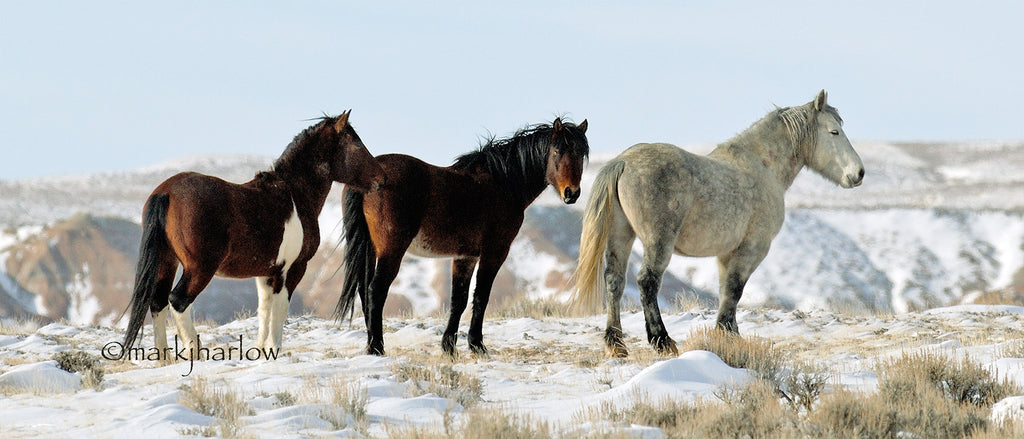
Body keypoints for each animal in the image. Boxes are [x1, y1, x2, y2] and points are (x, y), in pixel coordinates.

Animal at [121, 111, 385, 358]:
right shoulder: (293, 269)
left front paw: (261, 350)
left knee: (158, 301)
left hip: (167, 261)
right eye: (356, 143)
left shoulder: (266, 272)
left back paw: (163, 358)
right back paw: (196, 353)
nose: (380, 178)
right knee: (177, 301)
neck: (294, 195)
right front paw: (274, 349)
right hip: (199, 268)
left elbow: (264, 309)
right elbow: (280, 308)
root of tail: (166, 192)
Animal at [339, 117, 589, 356]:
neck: (503, 183)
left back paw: (371, 344)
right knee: (375, 290)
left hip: (370, 248)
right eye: (556, 151)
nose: (571, 193)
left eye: (581, 153)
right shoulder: (494, 252)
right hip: (391, 250)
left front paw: (449, 347)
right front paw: (477, 344)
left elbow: (458, 300)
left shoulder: (465, 256)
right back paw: (377, 347)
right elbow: (481, 296)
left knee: (364, 289)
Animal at [573, 89, 860, 356]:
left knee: (614, 281)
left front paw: (728, 334)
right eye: (834, 132)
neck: (763, 166)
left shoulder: (726, 253)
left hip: (620, 236)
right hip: (658, 242)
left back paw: (616, 344)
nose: (858, 173)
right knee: (647, 281)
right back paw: (662, 340)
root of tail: (622, 162)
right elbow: (734, 289)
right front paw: (727, 334)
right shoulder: (752, 248)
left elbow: (725, 291)